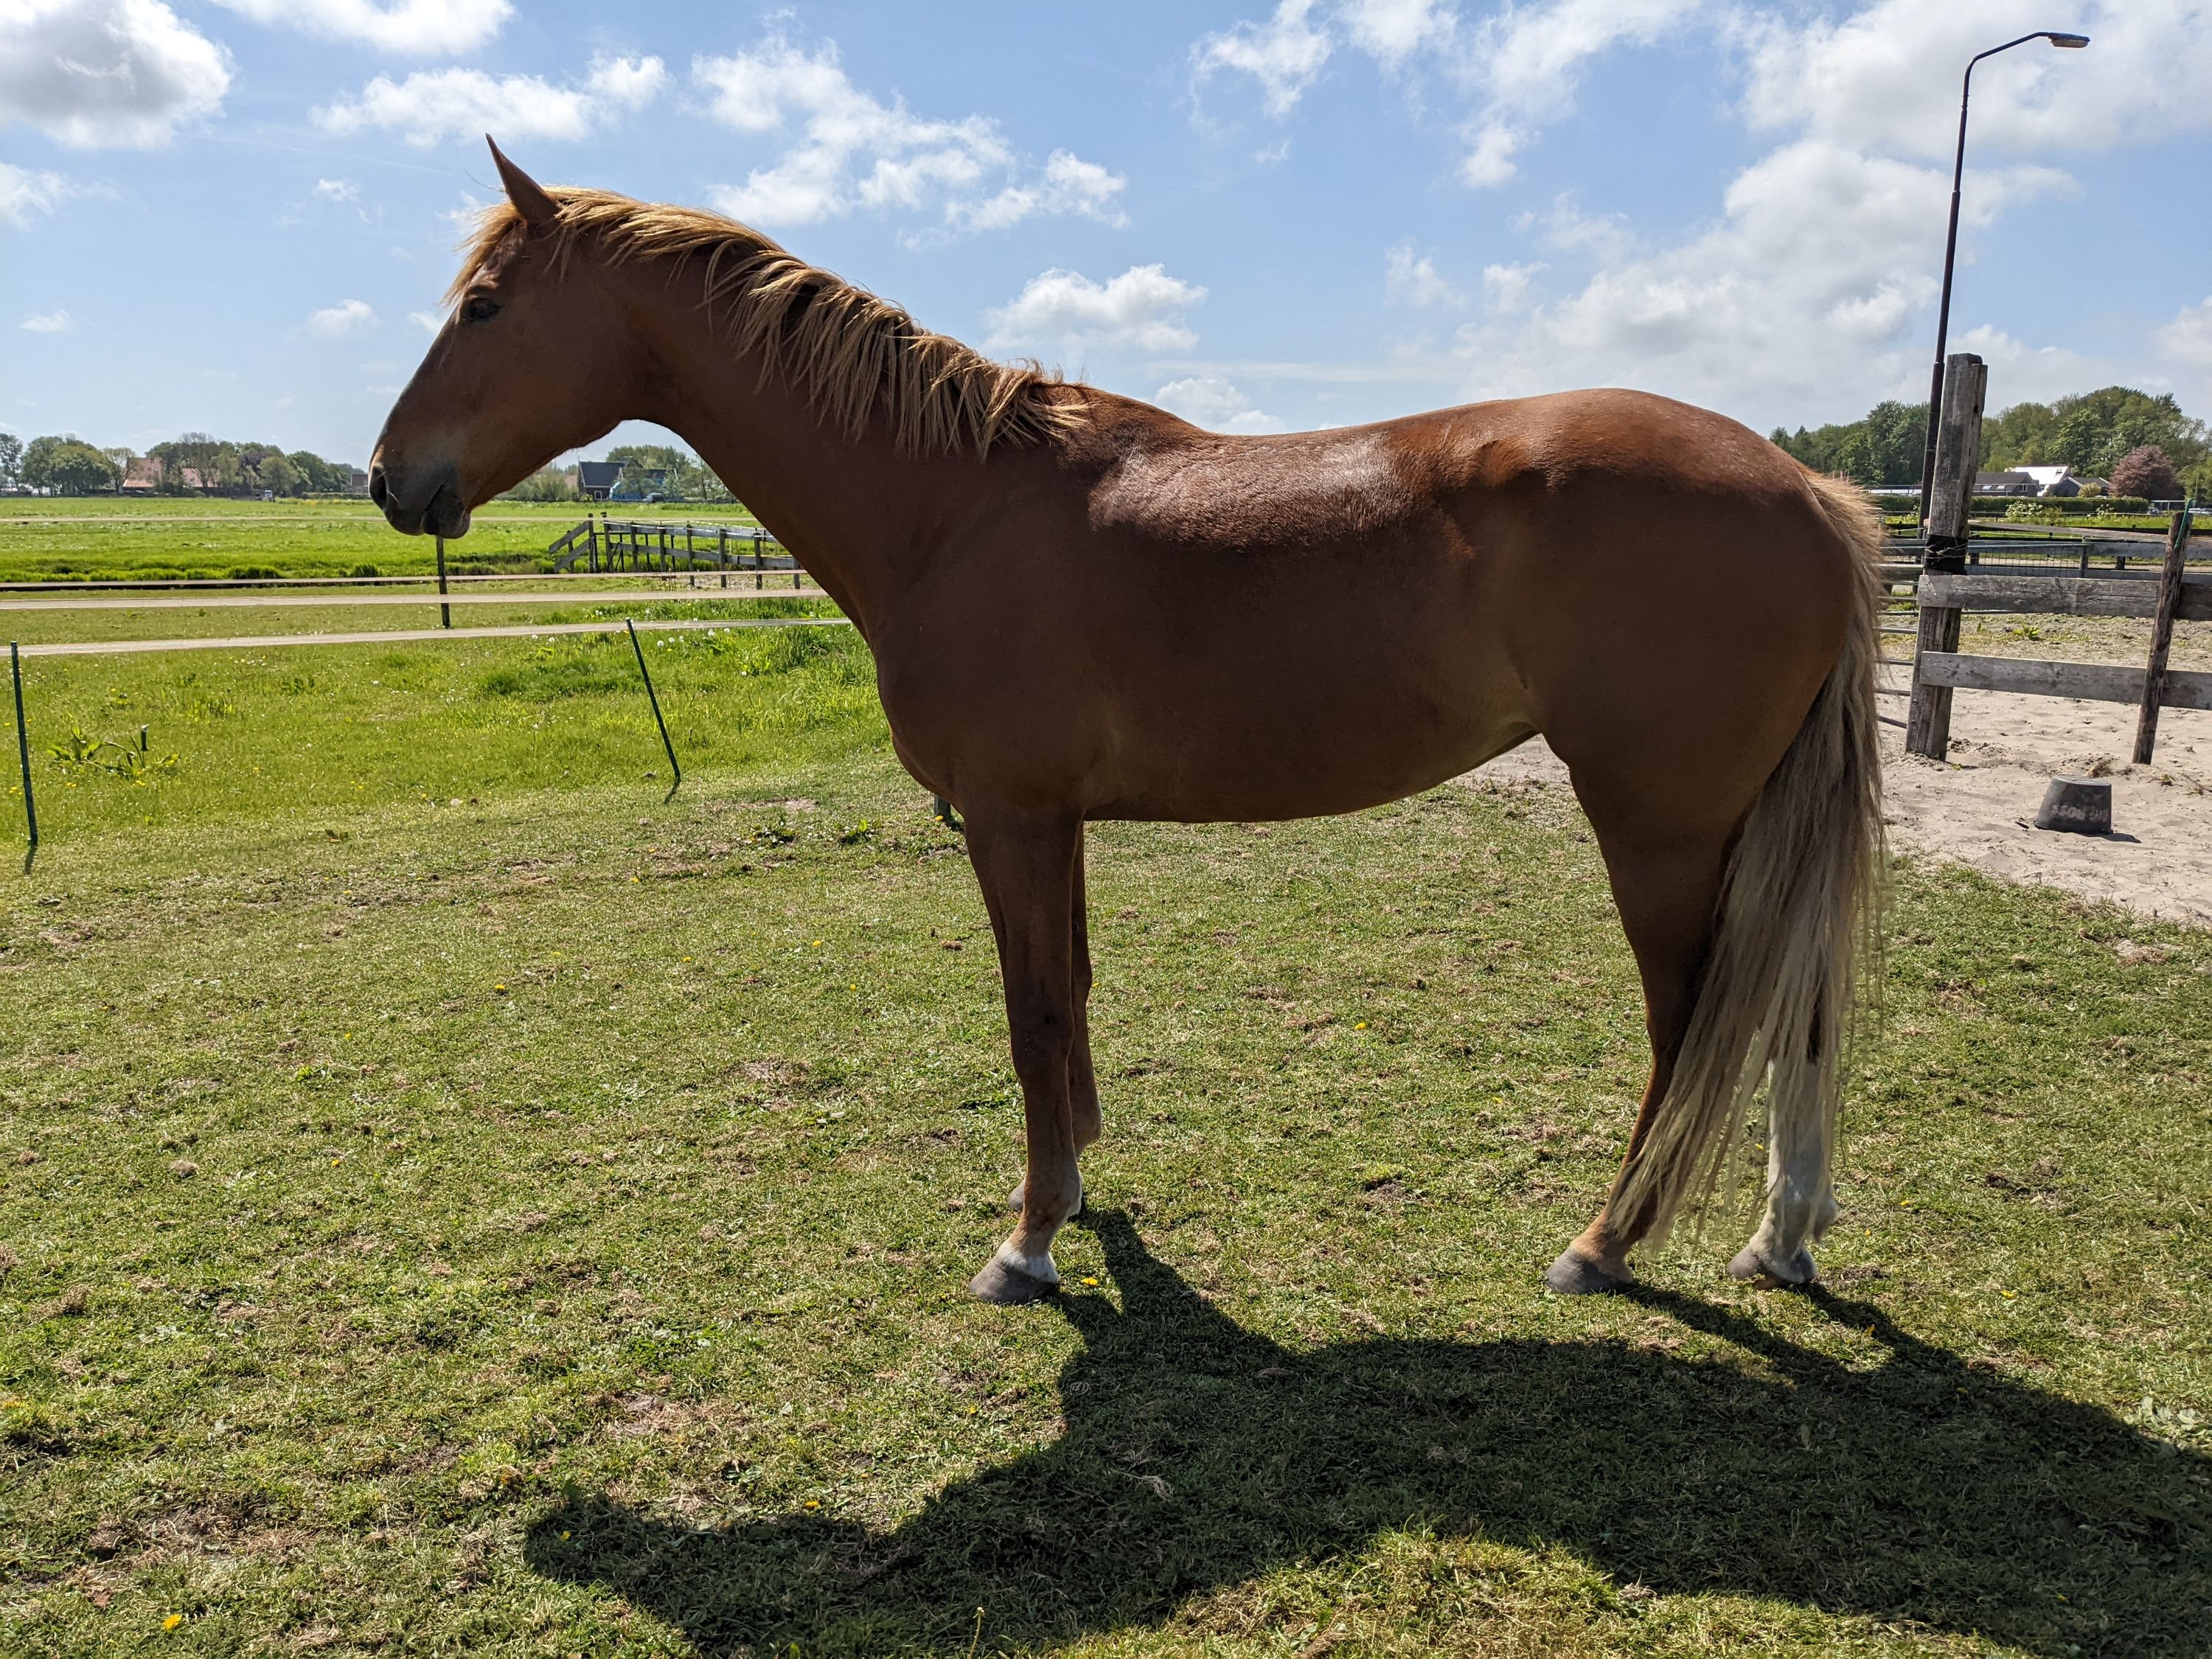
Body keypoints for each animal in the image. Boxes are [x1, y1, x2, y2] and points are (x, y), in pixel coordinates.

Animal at [371, 141, 1885, 1306]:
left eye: (488, 307)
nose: (391, 480)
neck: (954, 505)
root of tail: (1812, 492)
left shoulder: (1010, 818)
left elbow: (1033, 1014)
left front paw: (1029, 1239)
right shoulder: (1060, 823)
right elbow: (1078, 995)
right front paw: (1084, 1185)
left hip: (1660, 828)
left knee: (1694, 1025)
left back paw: (1604, 1244)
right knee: (1798, 1010)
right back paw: (1781, 1239)